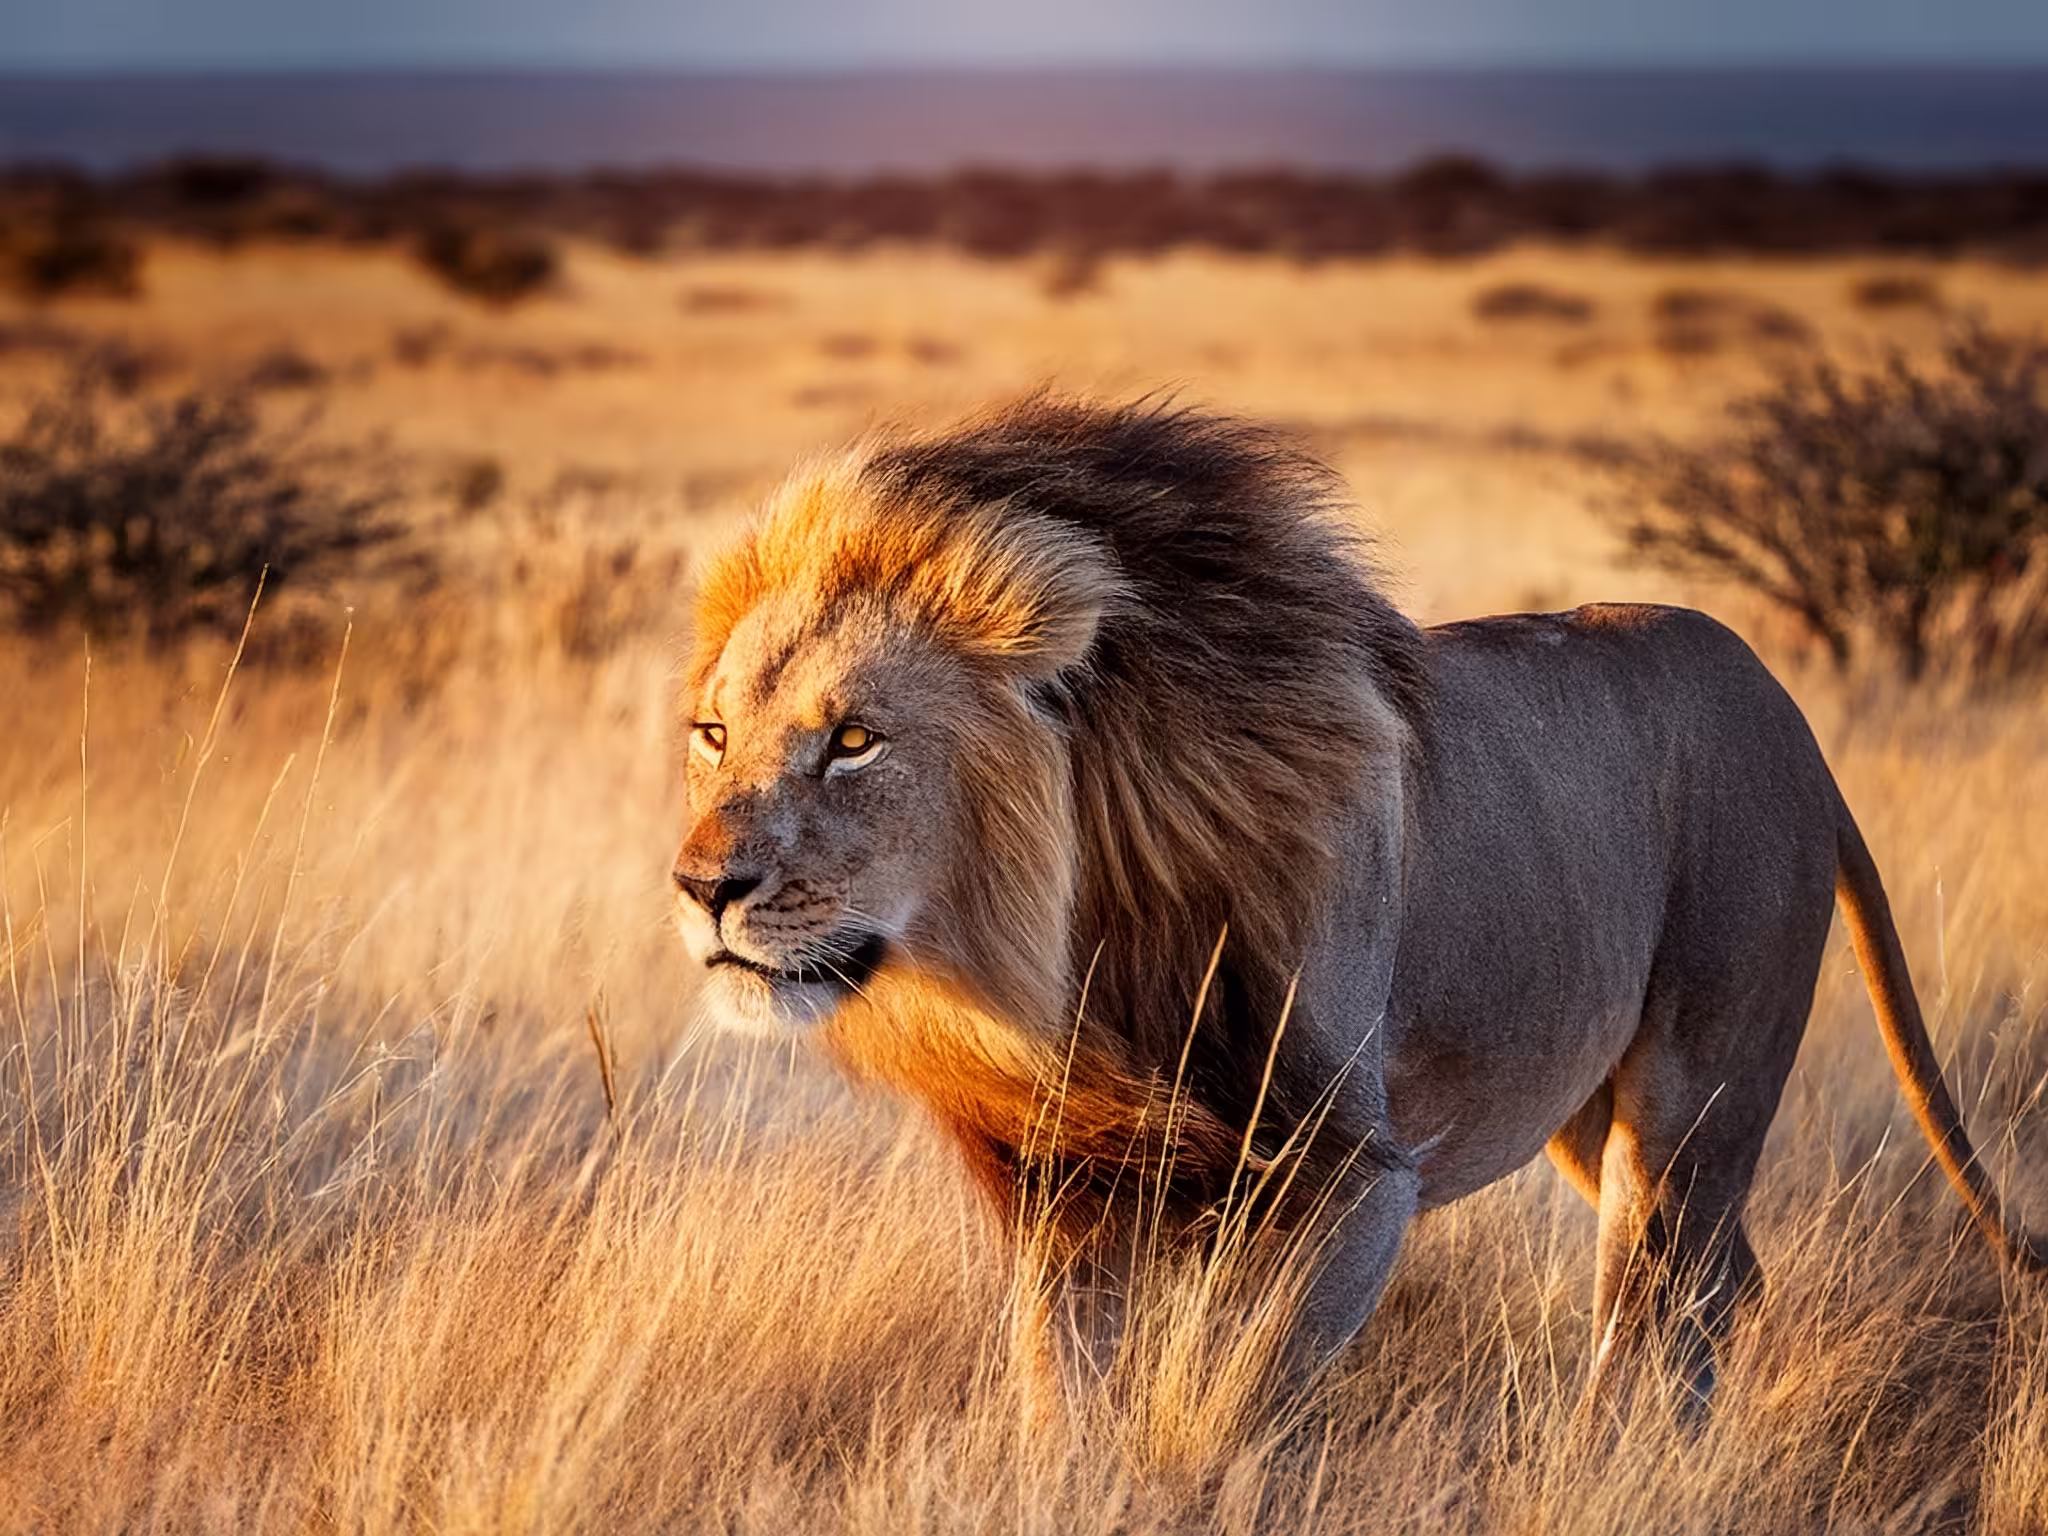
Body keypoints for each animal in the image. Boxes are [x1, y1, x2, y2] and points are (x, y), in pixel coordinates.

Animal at [671, 395, 2043, 1411]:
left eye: (853, 741)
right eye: (713, 734)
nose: (700, 889)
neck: (1068, 960)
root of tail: (1793, 718)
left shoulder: (1354, 1184)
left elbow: (1211, 1414)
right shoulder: (1071, 1194)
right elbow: (1062, 1411)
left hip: (1693, 1093)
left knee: (1664, 1312)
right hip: (1578, 1104)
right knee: (1726, 1285)